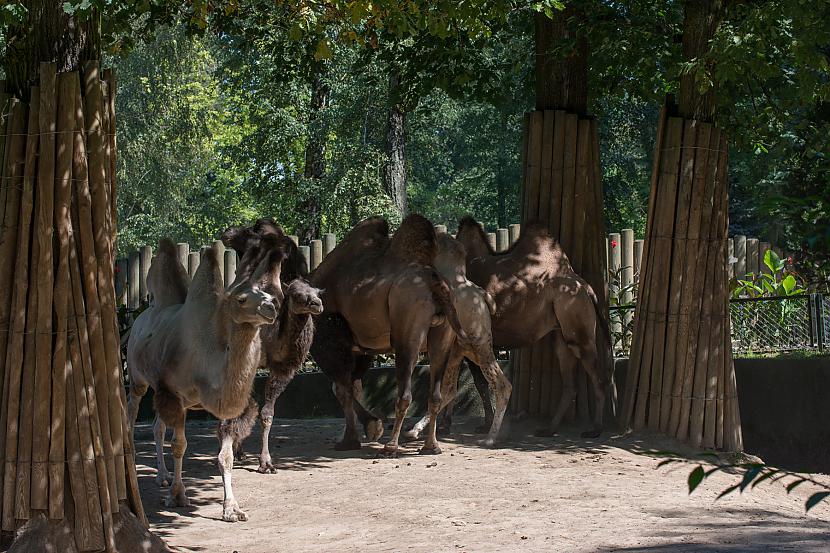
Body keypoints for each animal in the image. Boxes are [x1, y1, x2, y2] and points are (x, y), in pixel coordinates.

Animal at [127, 237, 288, 508]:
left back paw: (163, 475)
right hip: (138, 378)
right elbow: (179, 445)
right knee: (133, 412)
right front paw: (178, 495)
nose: (270, 308)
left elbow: (226, 455)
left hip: (160, 390)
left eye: (271, 295)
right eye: (242, 298)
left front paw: (231, 507)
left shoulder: (223, 404)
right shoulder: (176, 395)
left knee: (158, 426)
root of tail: (140, 319)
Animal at [216, 278, 324, 520]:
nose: (316, 304)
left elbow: (266, 414)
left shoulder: (280, 371)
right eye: (296, 294)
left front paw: (266, 463)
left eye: (317, 292)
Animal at [404, 232, 512, 444]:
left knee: (501, 384)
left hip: (478, 343)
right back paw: (415, 430)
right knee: (450, 389)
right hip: (463, 348)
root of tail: (483, 296)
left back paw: (490, 438)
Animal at [448, 218, 616, 438]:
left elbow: (477, 382)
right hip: (562, 332)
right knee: (570, 381)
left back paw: (595, 429)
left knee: (596, 374)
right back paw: (549, 429)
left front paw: (479, 425)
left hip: (576, 316)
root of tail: (586, 287)